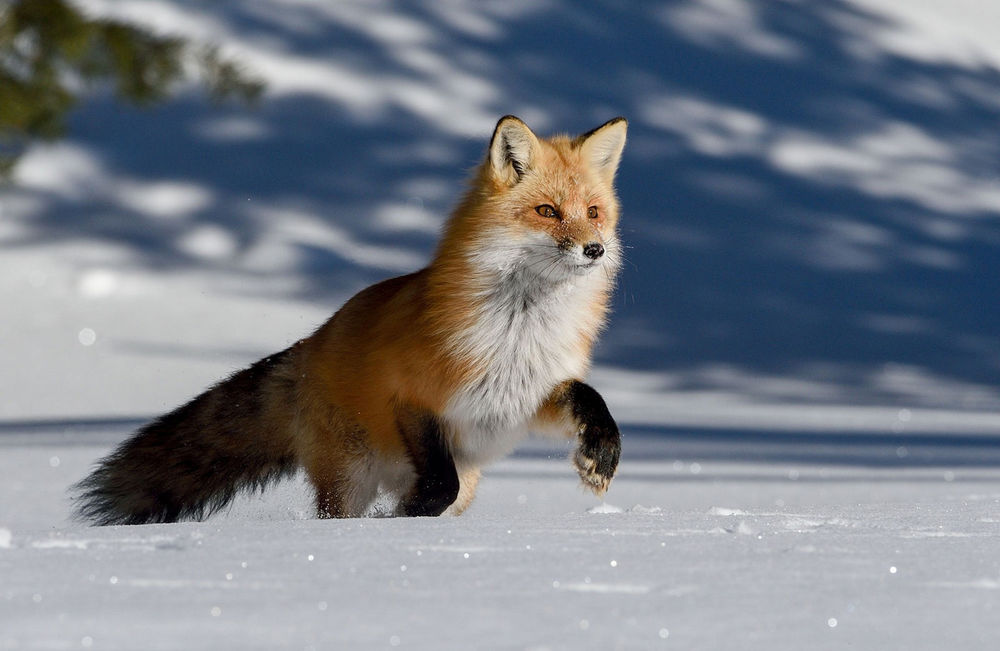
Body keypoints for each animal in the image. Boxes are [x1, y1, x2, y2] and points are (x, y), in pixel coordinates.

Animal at [74, 115, 628, 524]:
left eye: (593, 212)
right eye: (547, 211)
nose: (594, 249)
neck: (518, 331)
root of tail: (310, 345)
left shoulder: (523, 398)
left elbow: (588, 396)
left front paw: (601, 454)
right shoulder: (412, 399)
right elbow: (438, 485)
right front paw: (402, 519)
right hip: (349, 476)